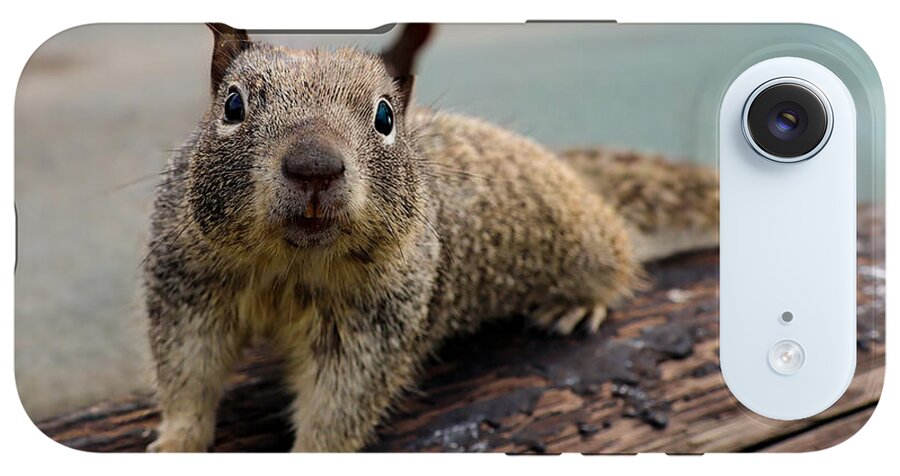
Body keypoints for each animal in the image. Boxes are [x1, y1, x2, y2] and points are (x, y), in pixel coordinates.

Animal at [144, 23, 718, 452]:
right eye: (233, 105)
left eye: (385, 116)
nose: (314, 166)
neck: (291, 265)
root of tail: (575, 176)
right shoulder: (189, 286)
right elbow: (187, 374)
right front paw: (176, 443)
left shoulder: (375, 322)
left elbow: (339, 405)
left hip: (585, 242)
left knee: (618, 254)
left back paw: (579, 303)